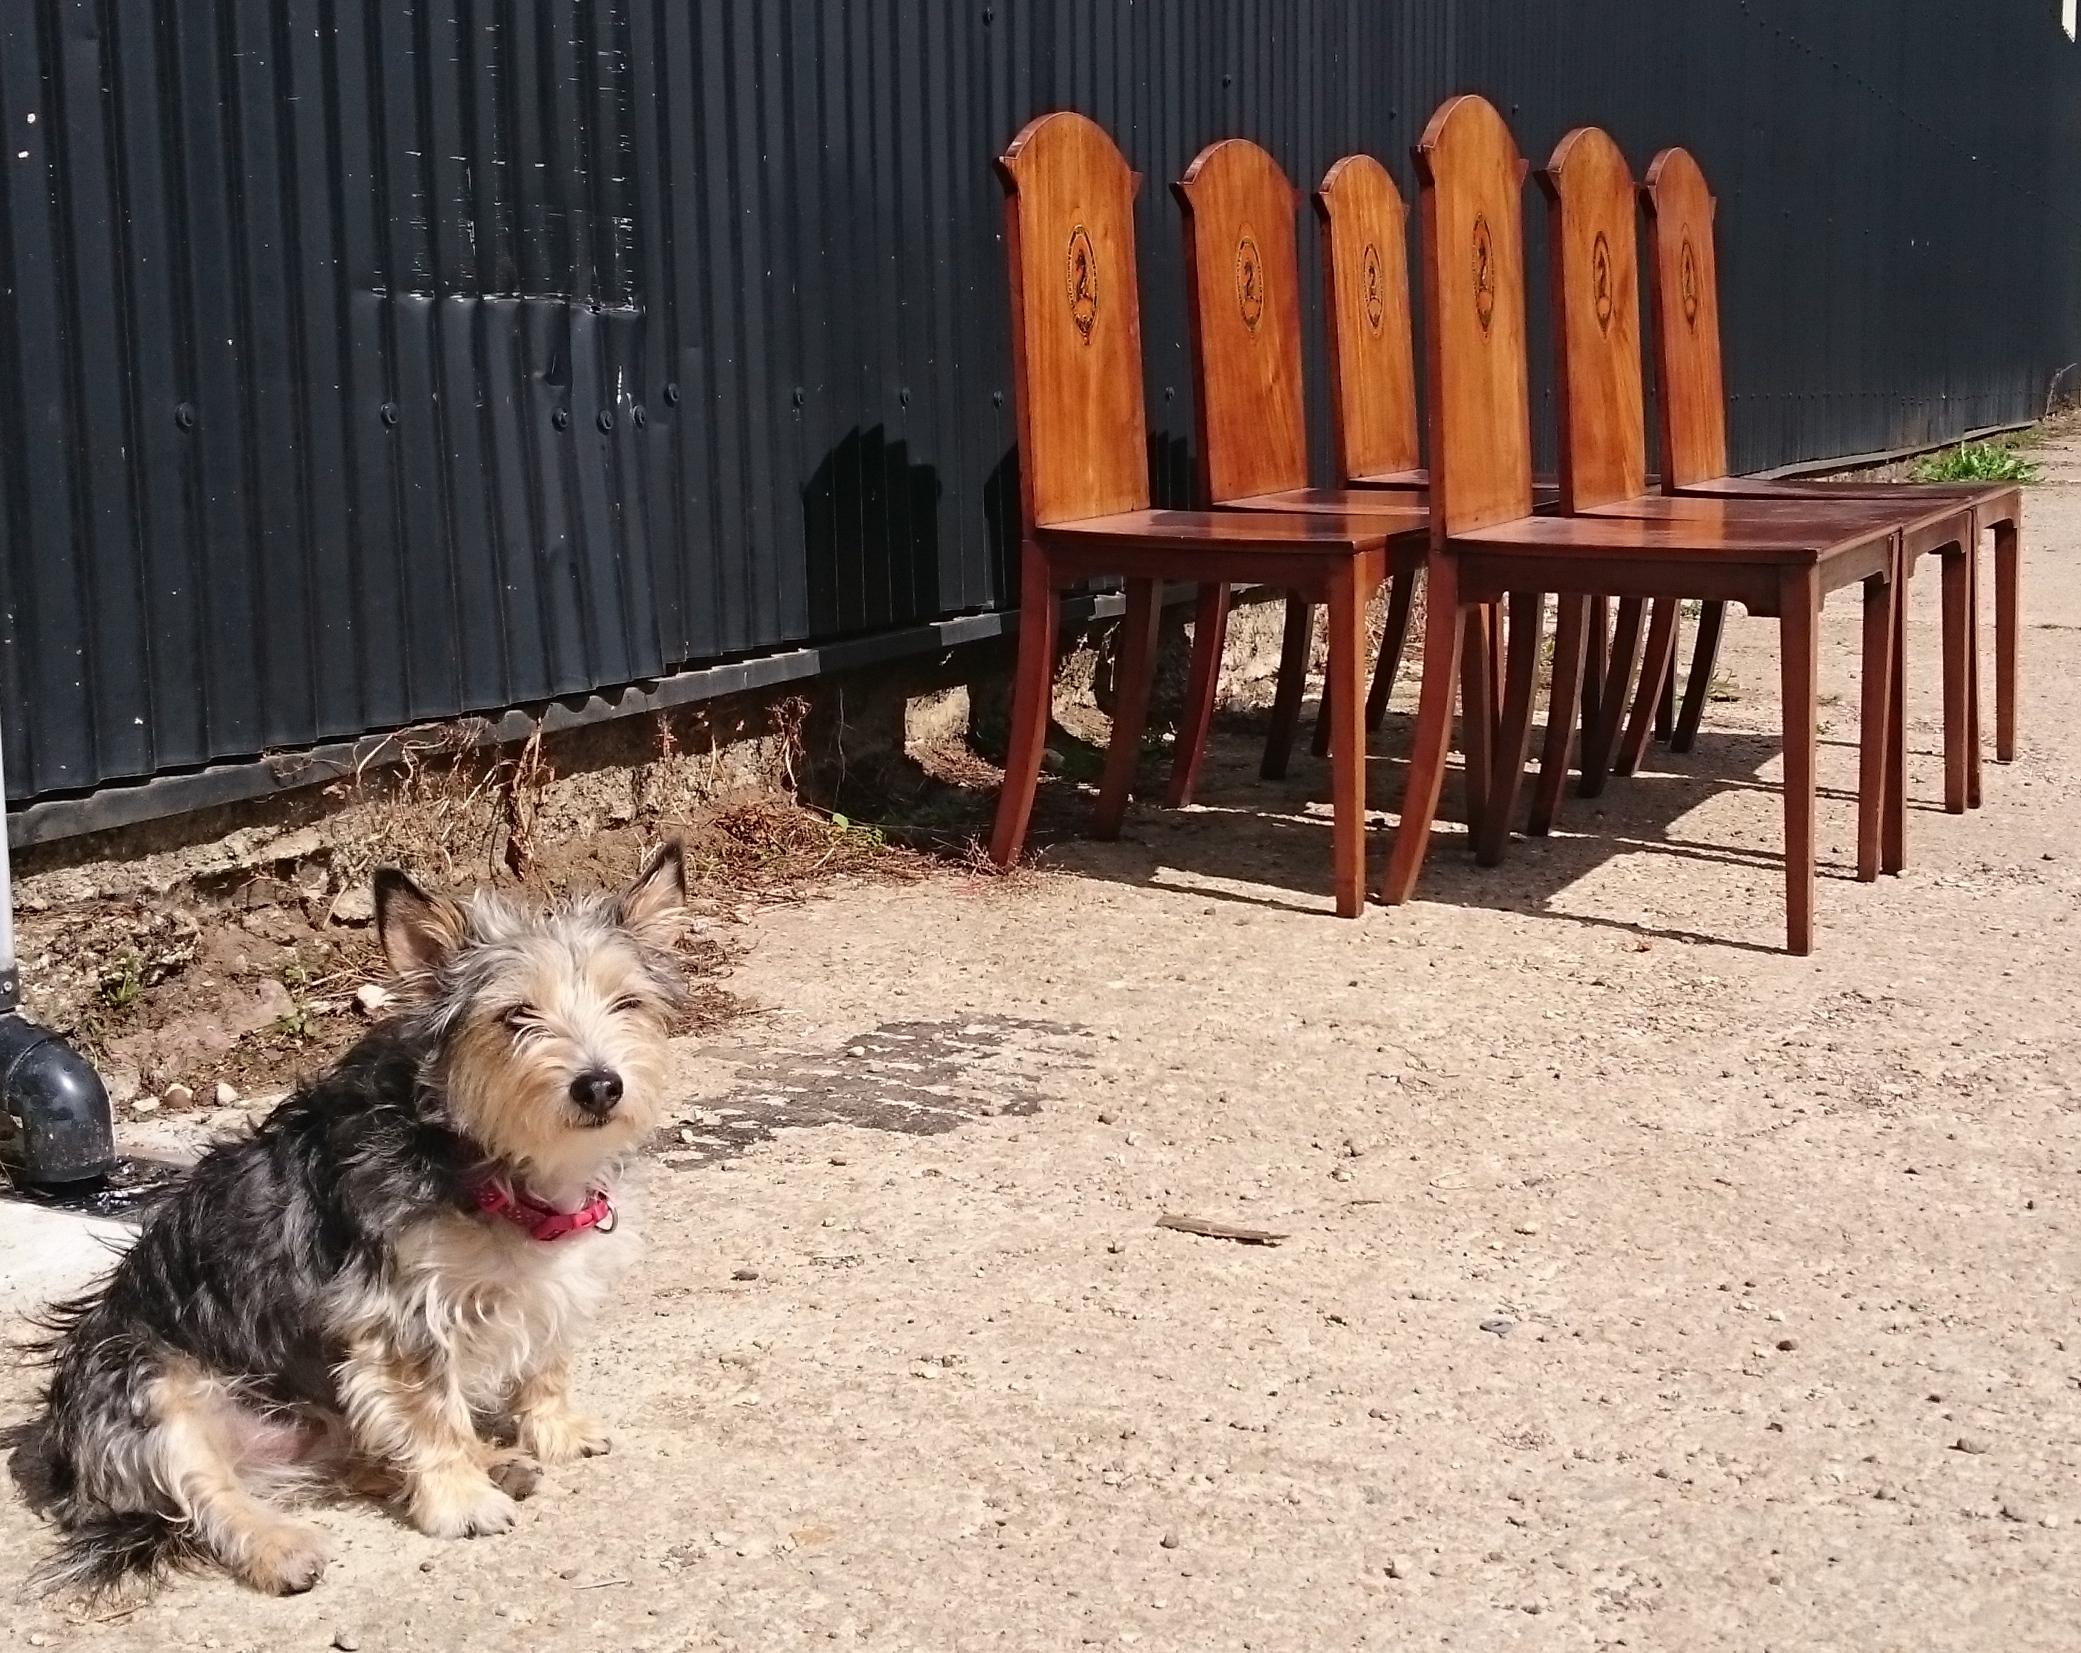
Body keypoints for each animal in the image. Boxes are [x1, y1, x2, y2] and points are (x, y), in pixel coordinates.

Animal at [24, 845, 686, 1590]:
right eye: (516, 1015)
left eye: (626, 1002)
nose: (600, 1085)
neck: (480, 1155)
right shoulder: (400, 1315)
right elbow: (431, 1413)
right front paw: (461, 1501)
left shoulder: (553, 1284)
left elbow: (543, 1364)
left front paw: (555, 1434)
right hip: (146, 1381)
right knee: (207, 1496)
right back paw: (278, 1544)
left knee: (362, 1453)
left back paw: (490, 1463)